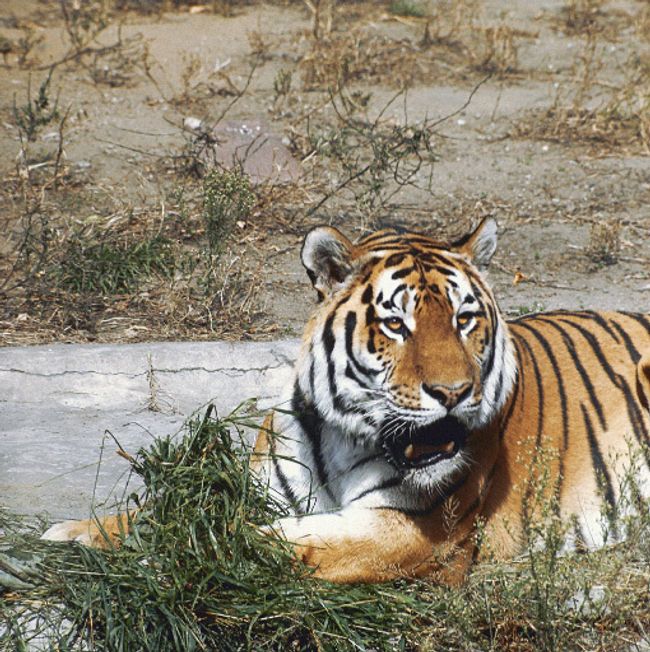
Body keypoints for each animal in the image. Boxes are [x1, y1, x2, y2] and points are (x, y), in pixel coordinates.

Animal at [43, 218, 650, 586]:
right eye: (396, 324)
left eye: (464, 319)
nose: (453, 394)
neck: (339, 438)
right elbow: (186, 507)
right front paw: (76, 534)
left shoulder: (409, 532)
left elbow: (276, 541)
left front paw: (175, 551)